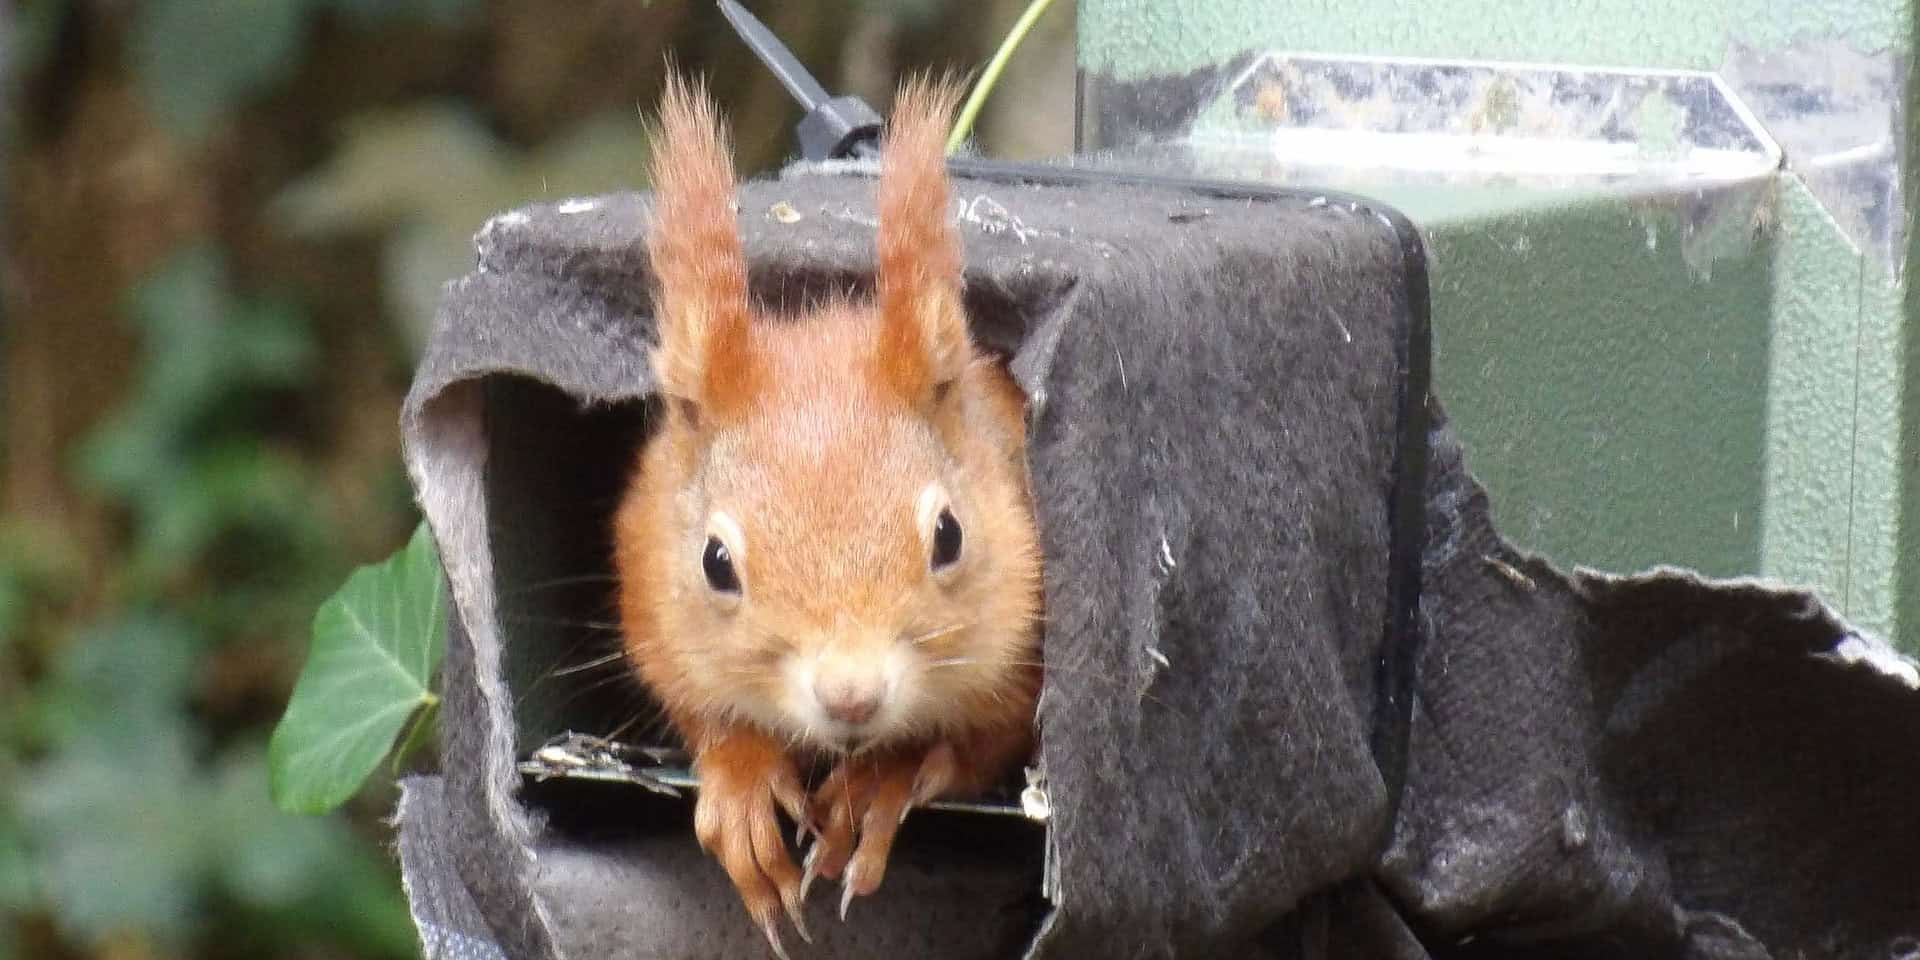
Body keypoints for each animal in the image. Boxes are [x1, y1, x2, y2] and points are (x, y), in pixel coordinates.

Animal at [612, 72, 1044, 958]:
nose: (851, 697)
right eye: (714, 562)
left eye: (950, 536)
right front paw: (742, 783)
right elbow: (704, 712)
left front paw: (881, 779)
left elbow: (985, 740)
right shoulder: (652, 609)